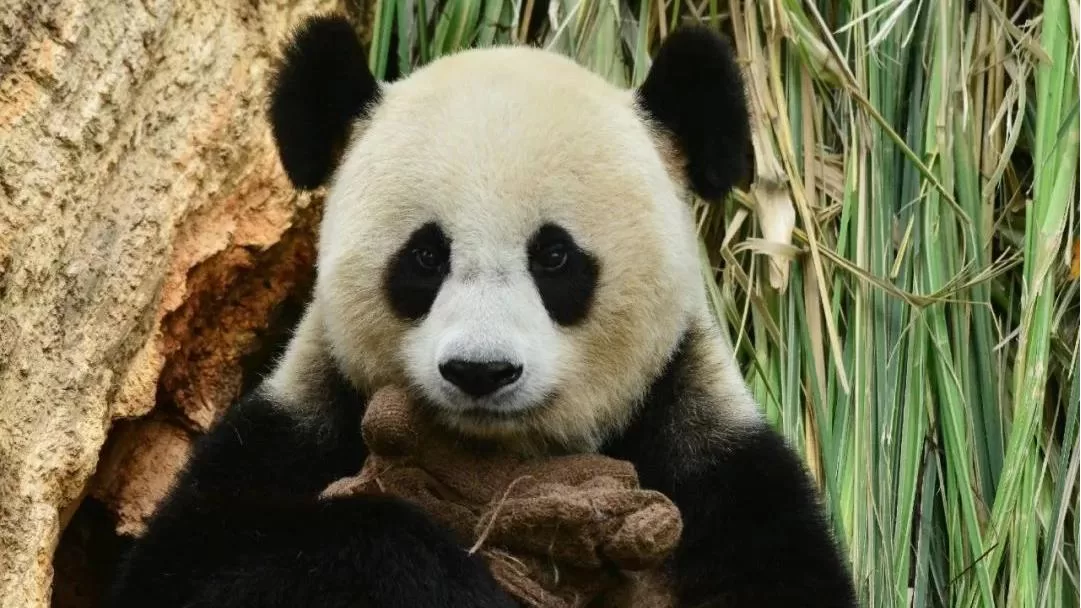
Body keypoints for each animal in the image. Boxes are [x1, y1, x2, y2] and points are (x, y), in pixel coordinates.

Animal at [109, 14, 856, 608]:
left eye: (554, 257)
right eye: (425, 256)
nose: (480, 371)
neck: (500, 459)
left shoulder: (712, 469)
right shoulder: (291, 434)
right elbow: (208, 565)